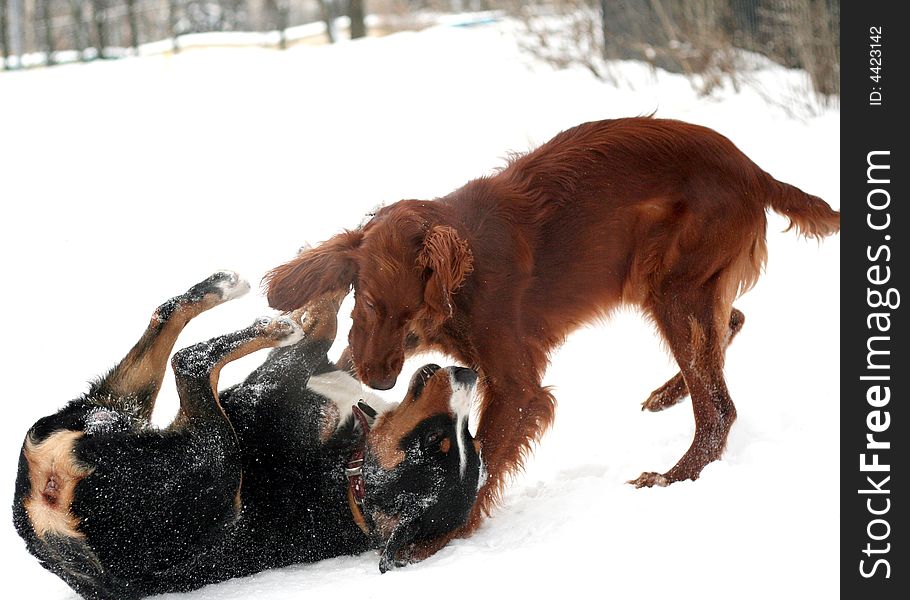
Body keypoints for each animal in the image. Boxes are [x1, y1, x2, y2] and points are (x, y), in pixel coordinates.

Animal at [14, 272, 484, 600]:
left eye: (435, 442)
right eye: (458, 438)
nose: (468, 375)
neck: (352, 480)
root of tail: (53, 509)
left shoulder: (275, 391)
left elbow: (318, 336)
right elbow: (330, 331)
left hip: (213, 464)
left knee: (191, 361)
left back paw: (266, 322)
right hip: (115, 407)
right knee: (166, 320)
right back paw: (220, 287)